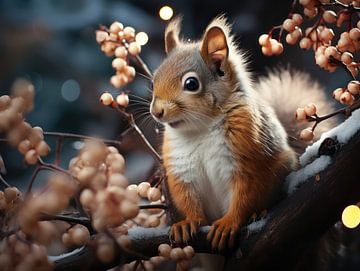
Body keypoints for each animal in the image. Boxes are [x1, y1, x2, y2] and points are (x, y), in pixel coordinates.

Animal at [149, 15, 334, 252]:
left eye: (191, 84)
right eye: (154, 80)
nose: (157, 111)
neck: (201, 129)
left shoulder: (247, 157)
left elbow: (245, 194)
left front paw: (228, 224)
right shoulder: (181, 169)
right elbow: (186, 197)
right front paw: (188, 222)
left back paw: (259, 213)